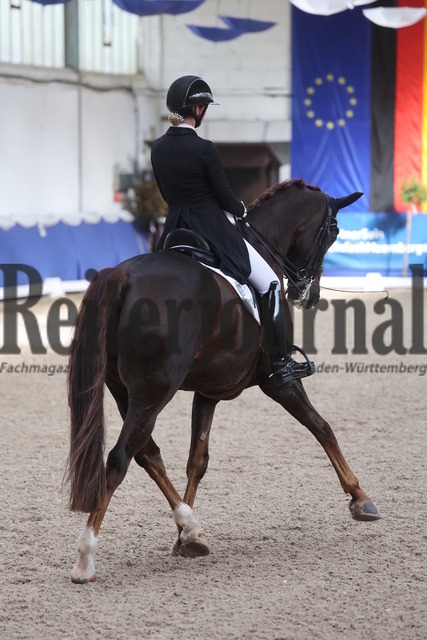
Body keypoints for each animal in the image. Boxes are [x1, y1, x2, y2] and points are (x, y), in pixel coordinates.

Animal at [65, 178, 380, 583]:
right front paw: (360, 497)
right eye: (335, 232)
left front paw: (184, 539)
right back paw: (85, 558)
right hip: (155, 390)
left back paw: (191, 527)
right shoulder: (277, 381)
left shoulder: (208, 390)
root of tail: (123, 277)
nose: (307, 296)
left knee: (147, 454)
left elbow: (197, 459)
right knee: (120, 458)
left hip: (125, 391)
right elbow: (322, 427)